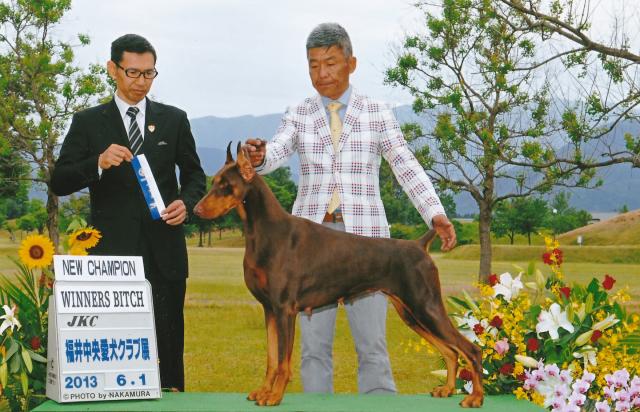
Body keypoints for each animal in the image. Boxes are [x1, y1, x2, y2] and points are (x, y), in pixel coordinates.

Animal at [192, 143, 482, 408]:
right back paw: (446, 389)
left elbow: (283, 362)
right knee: (450, 351)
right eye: (214, 182)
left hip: (426, 305)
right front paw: (263, 391)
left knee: (470, 349)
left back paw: (475, 397)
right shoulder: (269, 310)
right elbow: (272, 358)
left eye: (225, 185)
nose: (196, 210)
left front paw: (274, 395)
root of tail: (420, 245)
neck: (263, 232)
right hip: (410, 312)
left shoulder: (284, 309)